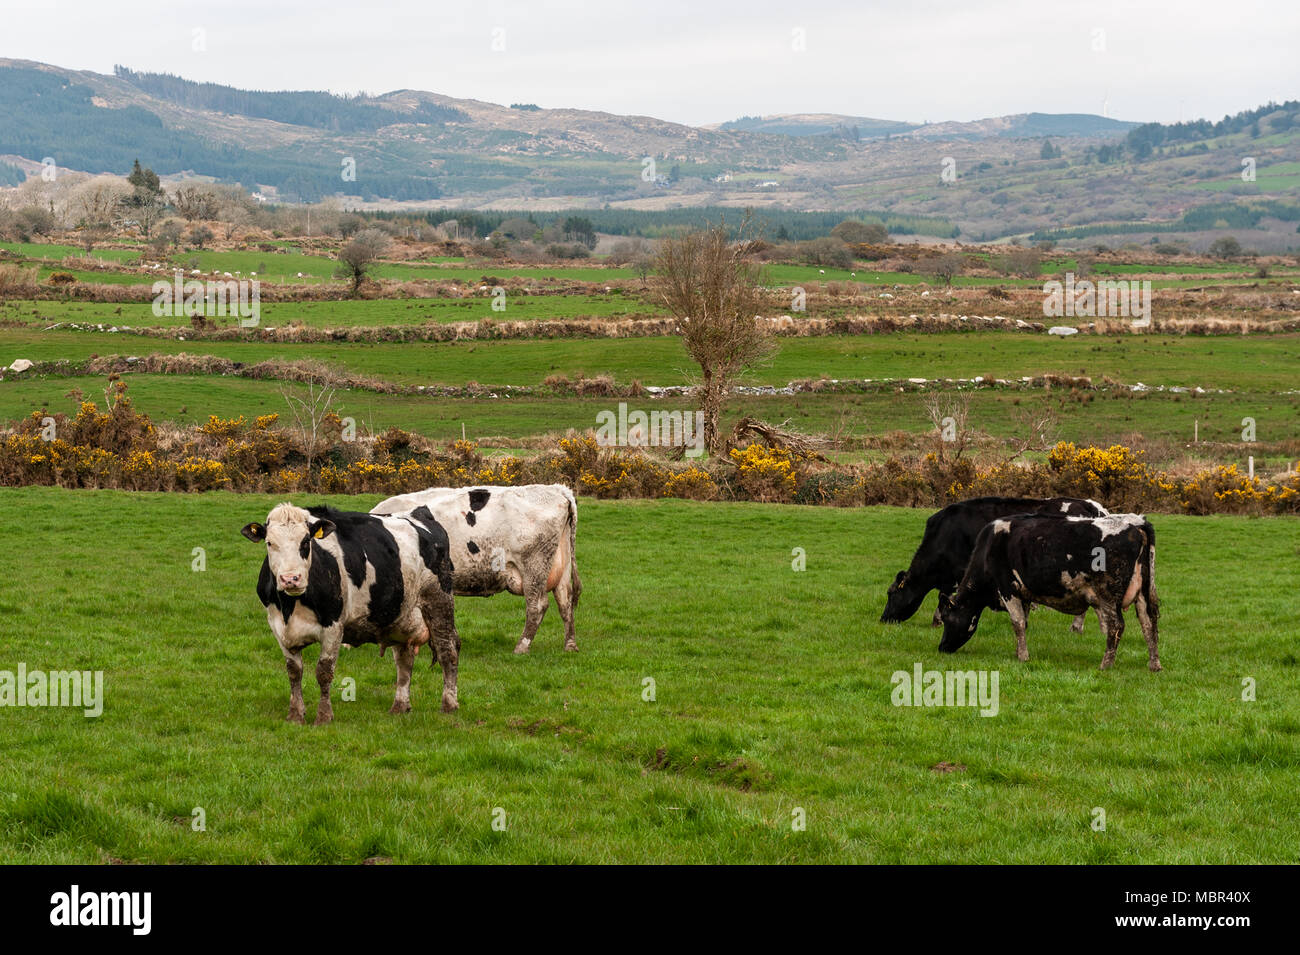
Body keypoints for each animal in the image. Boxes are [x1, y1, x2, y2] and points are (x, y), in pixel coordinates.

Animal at [240, 504, 462, 722]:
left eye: (306, 541)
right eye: (269, 543)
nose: (290, 579)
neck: (290, 606)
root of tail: (421, 513)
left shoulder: (333, 626)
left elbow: (324, 672)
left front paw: (324, 716)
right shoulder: (279, 628)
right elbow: (294, 672)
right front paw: (295, 715)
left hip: (439, 601)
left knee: (448, 651)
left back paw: (449, 704)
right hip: (401, 615)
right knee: (404, 661)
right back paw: (400, 706)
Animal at [374, 485, 582, 657]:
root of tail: (557, 489)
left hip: (534, 565)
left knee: (537, 605)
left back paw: (521, 647)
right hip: (560, 566)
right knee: (565, 601)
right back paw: (570, 645)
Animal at [873, 496, 1107, 631]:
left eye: (891, 594)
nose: (883, 619)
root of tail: (1089, 504)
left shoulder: (959, 573)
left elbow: (946, 596)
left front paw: (937, 621)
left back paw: (1076, 626)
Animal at [935, 514, 1159, 670]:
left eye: (946, 618)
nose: (942, 648)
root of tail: (1135, 523)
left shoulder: (1007, 589)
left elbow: (1017, 622)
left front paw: (1023, 657)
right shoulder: (1024, 595)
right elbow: (1024, 623)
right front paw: (1019, 652)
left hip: (1108, 595)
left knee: (1116, 626)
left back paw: (1105, 665)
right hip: (1143, 593)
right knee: (1149, 622)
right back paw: (1154, 665)